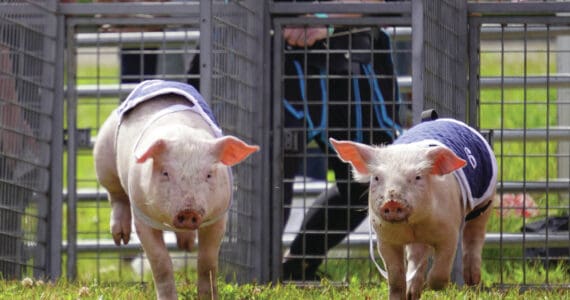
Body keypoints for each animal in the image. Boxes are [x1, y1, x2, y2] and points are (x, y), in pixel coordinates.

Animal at [93, 79, 260, 300]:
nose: (188, 212)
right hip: (103, 154)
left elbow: (207, 261)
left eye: (209, 174)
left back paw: (186, 245)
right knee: (116, 195)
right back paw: (121, 238)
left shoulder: (219, 215)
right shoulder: (141, 213)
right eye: (165, 173)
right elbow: (160, 262)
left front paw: (208, 296)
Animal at [326, 118, 494, 300]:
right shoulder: (385, 238)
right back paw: (412, 292)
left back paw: (472, 281)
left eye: (417, 177)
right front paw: (400, 295)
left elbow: (441, 269)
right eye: (377, 178)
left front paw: (435, 287)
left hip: (486, 200)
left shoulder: (450, 230)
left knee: (475, 235)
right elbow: (395, 278)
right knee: (416, 254)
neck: (413, 224)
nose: (392, 202)